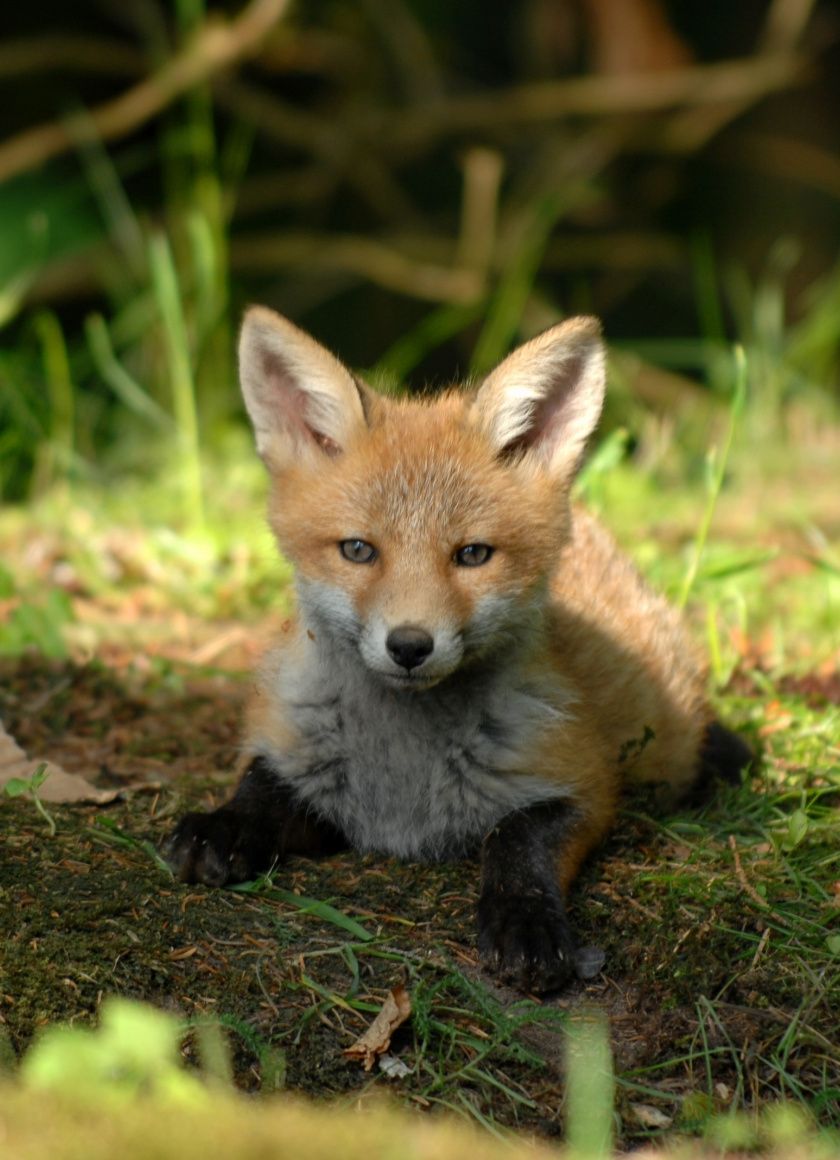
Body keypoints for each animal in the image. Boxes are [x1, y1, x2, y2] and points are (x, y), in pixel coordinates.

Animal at [164, 306, 751, 993]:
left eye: (472, 554)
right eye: (358, 550)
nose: (409, 646)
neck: (402, 777)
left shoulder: (583, 781)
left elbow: (515, 839)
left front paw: (524, 919)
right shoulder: (297, 754)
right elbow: (259, 787)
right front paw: (222, 826)